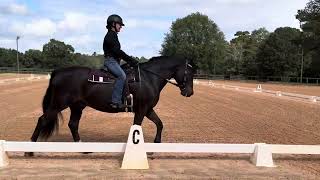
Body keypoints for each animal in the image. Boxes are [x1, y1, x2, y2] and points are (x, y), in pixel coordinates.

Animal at [28, 55, 194, 147]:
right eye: (190, 72)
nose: (189, 92)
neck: (148, 78)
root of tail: (58, 72)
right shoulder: (141, 109)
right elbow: (137, 127)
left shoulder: (147, 109)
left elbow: (159, 124)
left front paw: (157, 143)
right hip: (58, 105)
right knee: (42, 120)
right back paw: (30, 149)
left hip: (77, 106)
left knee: (73, 124)